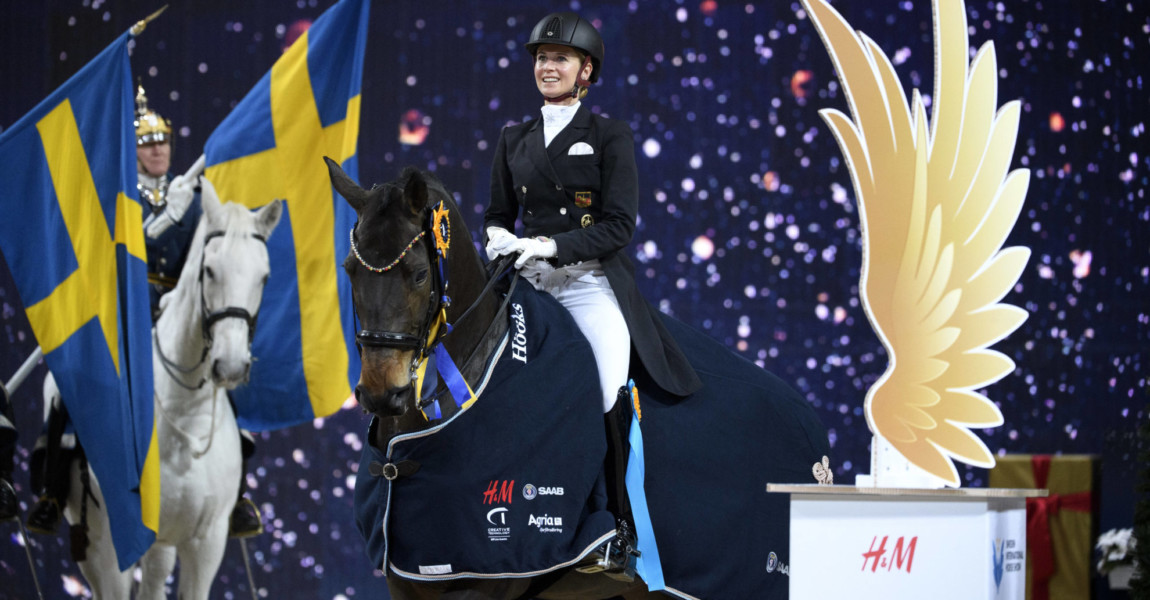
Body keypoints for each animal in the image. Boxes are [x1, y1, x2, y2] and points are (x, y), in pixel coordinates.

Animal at [58, 178, 282, 597]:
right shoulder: (115, 544)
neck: (182, 419)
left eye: (264, 277)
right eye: (209, 270)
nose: (230, 365)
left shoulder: (206, 542)